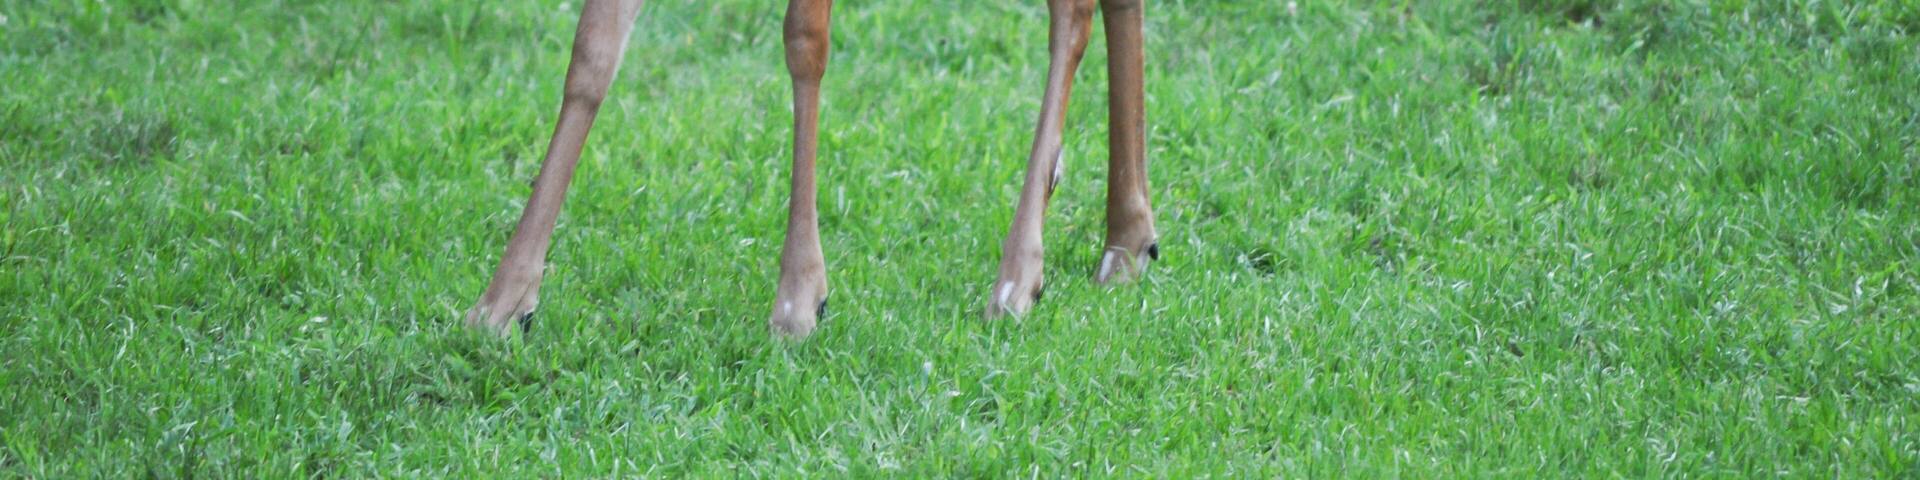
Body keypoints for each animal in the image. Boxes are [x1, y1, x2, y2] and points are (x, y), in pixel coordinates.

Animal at [464, 0, 1160, 338]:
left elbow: (805, 39)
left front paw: (801, 294)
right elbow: (592, 50)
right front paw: (503, 301)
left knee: (1072, 13)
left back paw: (1019, 274)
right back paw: (1127, 236)